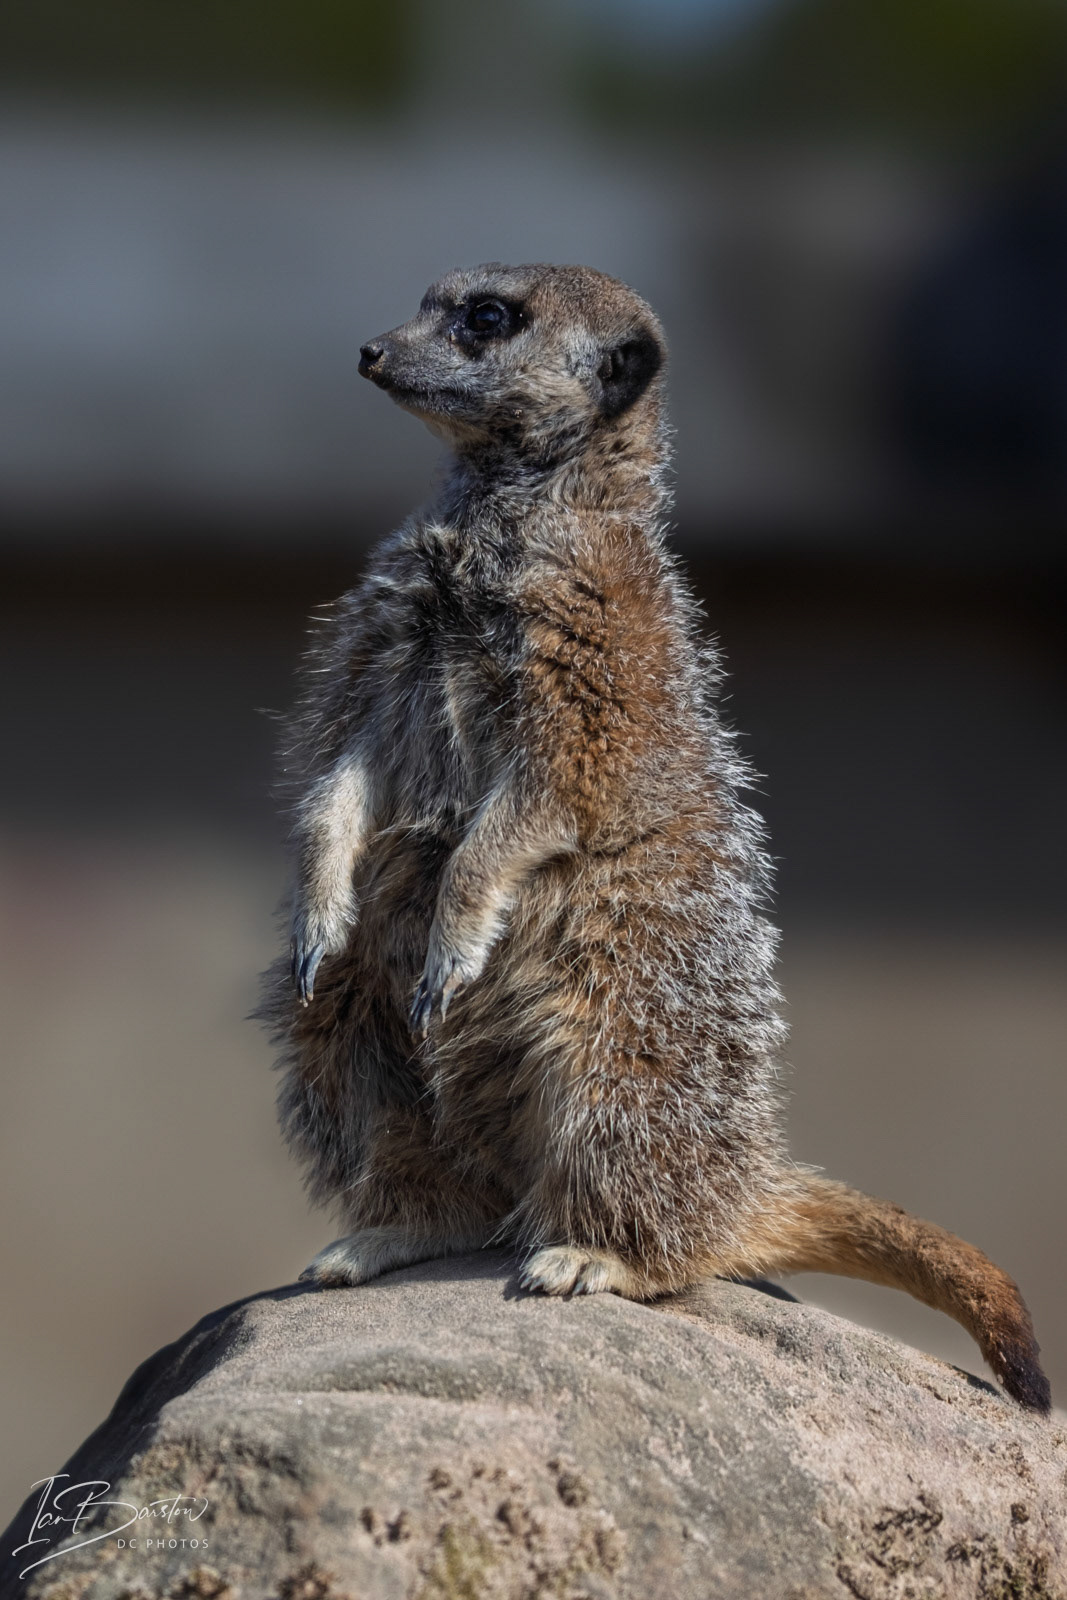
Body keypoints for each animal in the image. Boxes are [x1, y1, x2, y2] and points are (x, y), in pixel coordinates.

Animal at [262, 262, 1049, 1413]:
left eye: (486, 318)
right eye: (427, 300)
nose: (369, 350)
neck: (499, 522)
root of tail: (742, 1182)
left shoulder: (594, 644)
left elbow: (546, 799)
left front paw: (458, 922)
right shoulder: (378, 633)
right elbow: (343, 772)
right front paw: (320, 897)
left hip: (631, 1017)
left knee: (629, 1146)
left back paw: (600, 1253)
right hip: (356, 1019)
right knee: (360, 1066)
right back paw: (394, 1226)